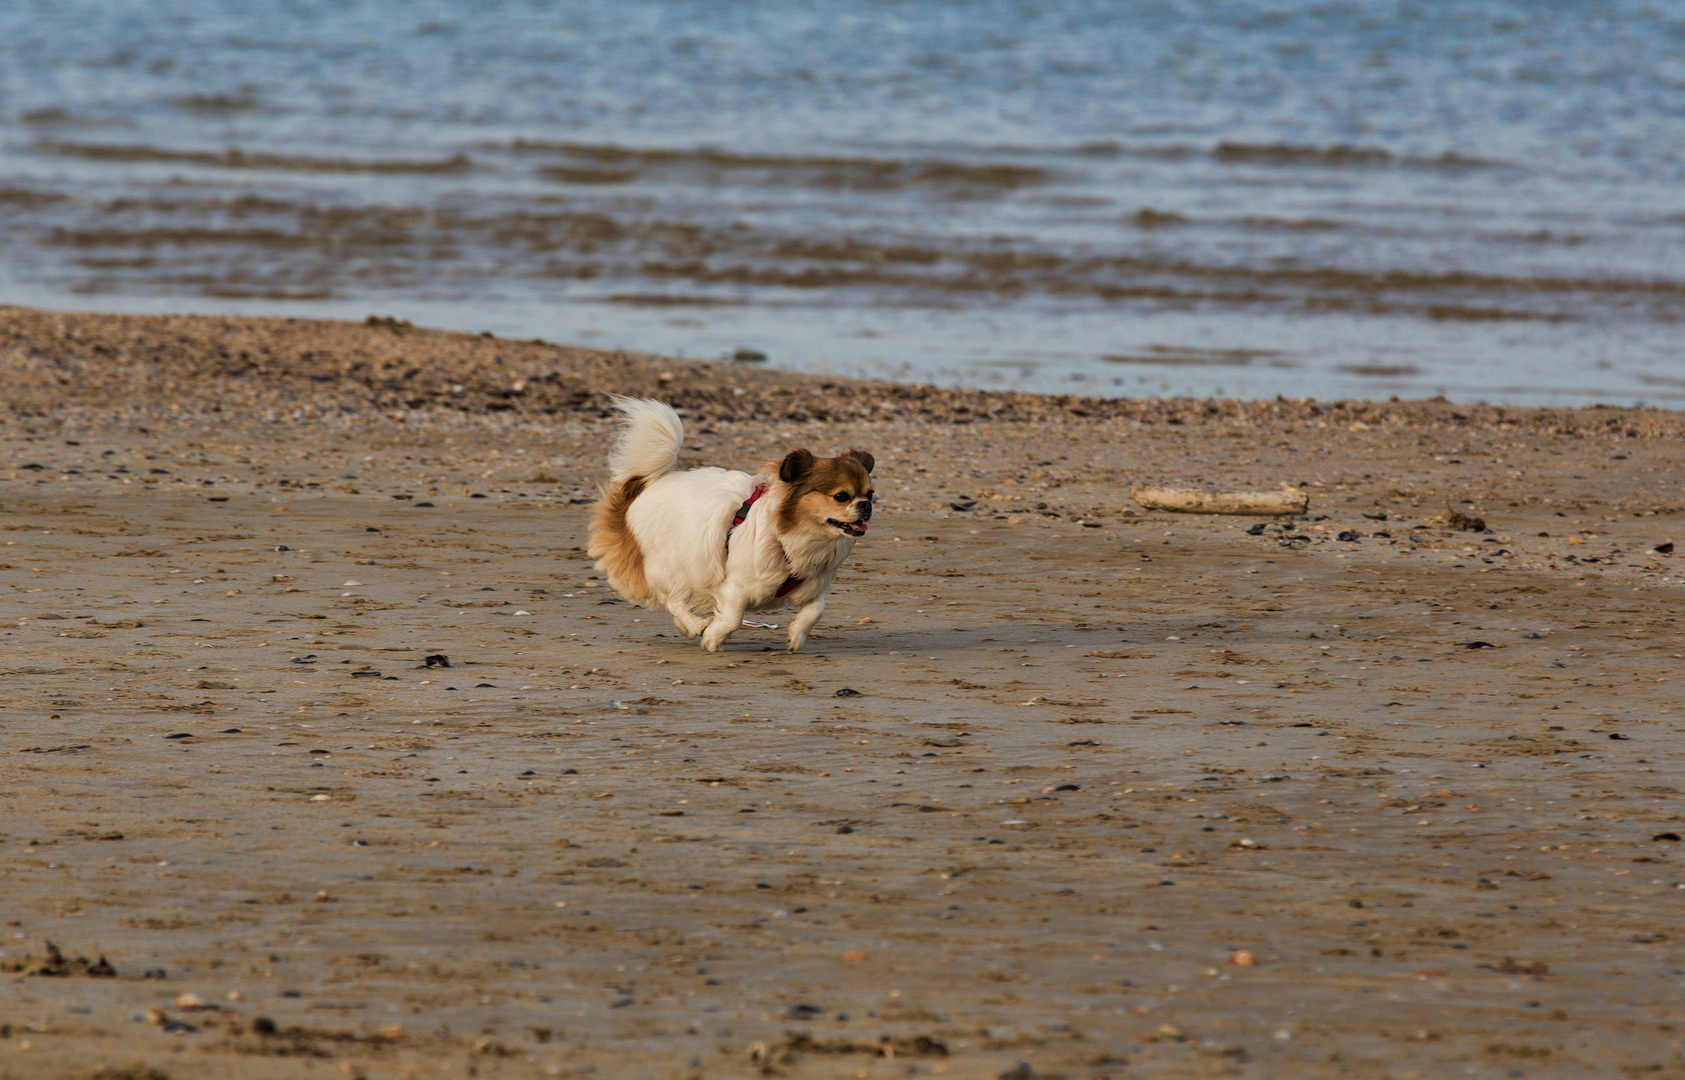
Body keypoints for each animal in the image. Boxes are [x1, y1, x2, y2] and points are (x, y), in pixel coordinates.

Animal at [586, 395, 876, 646]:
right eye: (841, 496)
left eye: (870, 494)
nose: (866, 505)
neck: (793, 539)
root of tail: (644, 485)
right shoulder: (735, 587)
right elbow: (733, 619)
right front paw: (712, 638)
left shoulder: (813, 587)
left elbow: (816, 610)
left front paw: (796, 635)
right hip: (670, 566)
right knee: (673, 600)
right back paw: (695, 625)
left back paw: (687, 626)